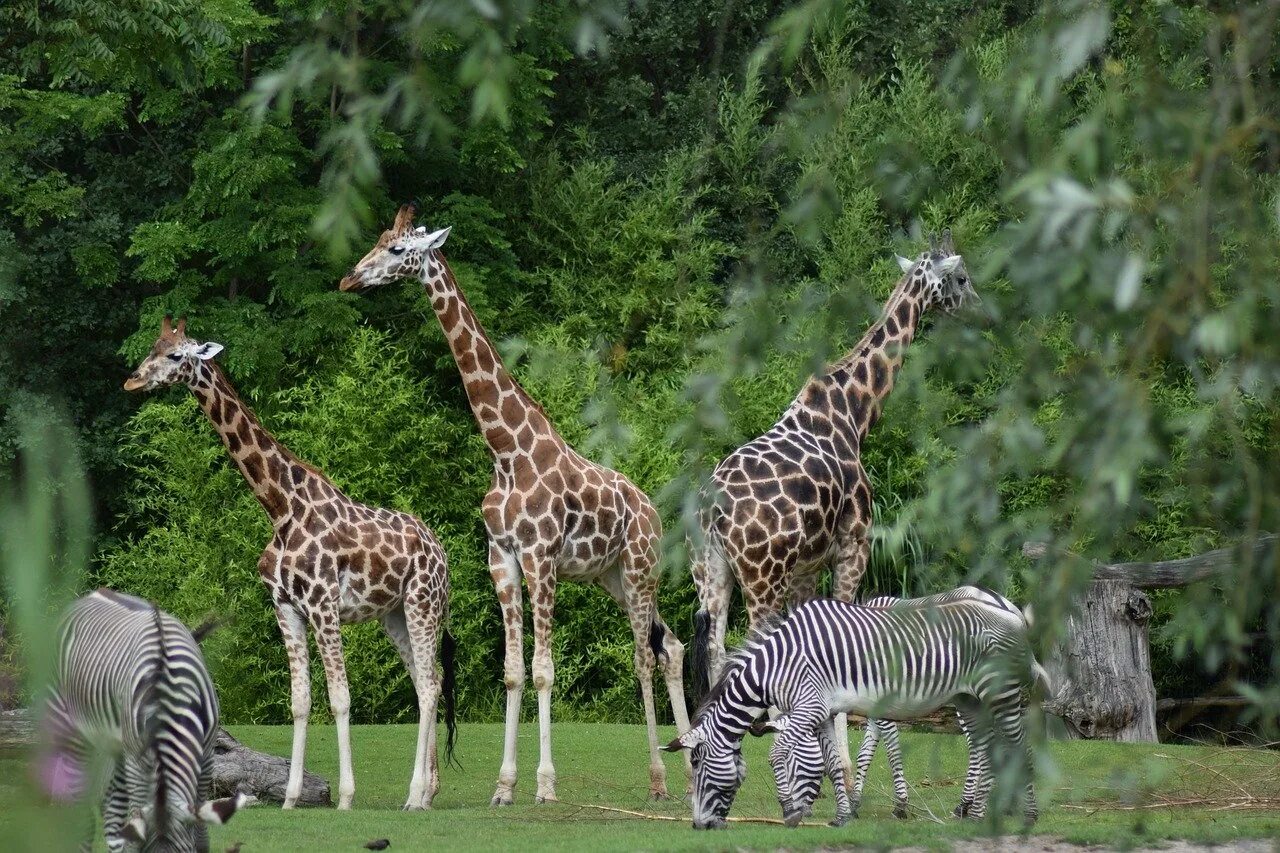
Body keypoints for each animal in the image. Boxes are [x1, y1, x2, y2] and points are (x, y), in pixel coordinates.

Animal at [40, 589, 244, 845]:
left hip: (116, 747)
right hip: (72, 729)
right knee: (82, 810)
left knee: (111, 812)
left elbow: (200, 834)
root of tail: (94, 593)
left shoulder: (206, 758)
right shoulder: (136, 762)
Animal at [120, 313, 460, 809]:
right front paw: (290, 797)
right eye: (151, 348)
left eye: (176, 354)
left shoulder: (323, 604)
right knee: (424, 681)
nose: (133, 380)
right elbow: (300, 702)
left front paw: (345, 797)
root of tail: (440, 551)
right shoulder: (285, 607)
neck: (280, 508)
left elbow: (340, 697)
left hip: (422, 602)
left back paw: (416, 795)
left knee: (431, 685)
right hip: (393, 614)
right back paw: (428, 792)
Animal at [340, 202, 696, 799]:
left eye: (397, 249)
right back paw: (690, 771)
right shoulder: (502, 559)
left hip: (640, 568)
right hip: (610, 577)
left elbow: (545, 669)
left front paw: (545, 784)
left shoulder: (541, 558)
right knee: (669, 646)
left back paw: (659, 779)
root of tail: (651, 510)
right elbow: (512, 670)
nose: (350, 278)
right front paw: (505, 785)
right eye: (378, 239)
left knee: (644, 657)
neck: (506, 450)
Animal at [665, 591, 1044, 824]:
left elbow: (776, 753)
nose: (699, 826)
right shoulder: (823, 713)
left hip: (1000, 693)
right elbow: (834, 763)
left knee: (1019, 746)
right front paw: (843, 815)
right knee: (986, 747)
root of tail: (1012, 614)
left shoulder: (810, 709)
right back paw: (977, 812)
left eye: (697, 765)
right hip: (970, 698)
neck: (778, 664)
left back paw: (1026, 814)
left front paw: (789, 810)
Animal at [691, 227, 967, 778]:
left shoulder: (806, 567)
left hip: (714, 571)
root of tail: (713, 512)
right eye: (963, 277)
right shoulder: (853, 544)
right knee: (747, 648)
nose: (976, 306)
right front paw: (839, 766)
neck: (855, 413)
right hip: (761, 575)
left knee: (714, 646)